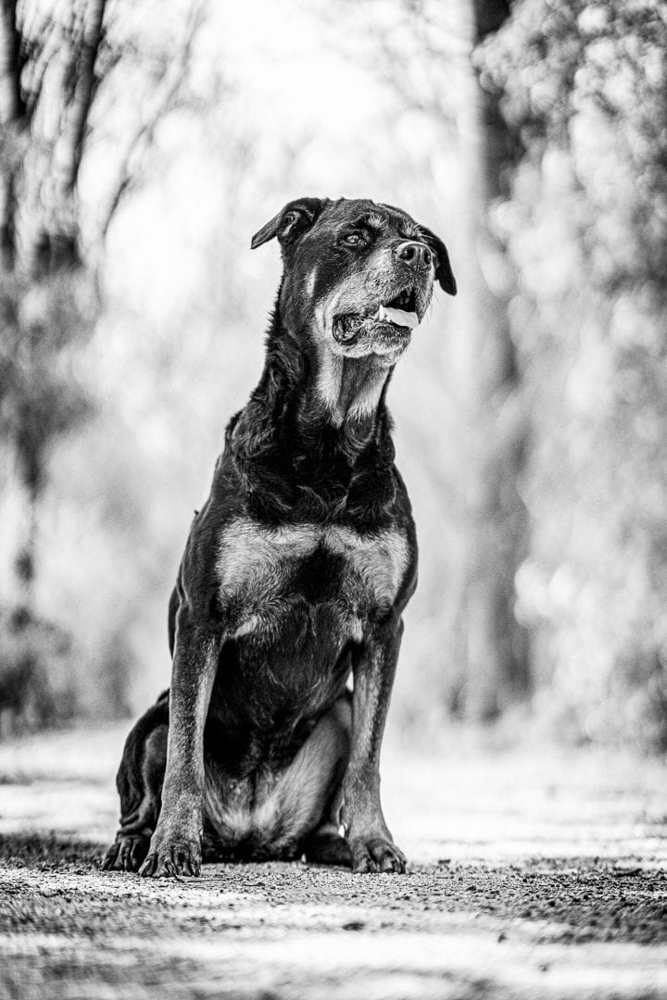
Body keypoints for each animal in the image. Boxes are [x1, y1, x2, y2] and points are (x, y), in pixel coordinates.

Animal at [103, 197, 456, 877]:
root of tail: (250, 833)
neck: (329, 446)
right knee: (148, 775)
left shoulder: (385, 626)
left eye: (420, 239)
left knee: (332, 785)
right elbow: (185, 750)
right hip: (148, 721)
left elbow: (369, 758)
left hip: (336, 711)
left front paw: (376, 842)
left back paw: (334, 843)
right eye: (355, 237)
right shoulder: (203, 616)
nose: (420, 257)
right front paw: (174, 844)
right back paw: (136, 841)